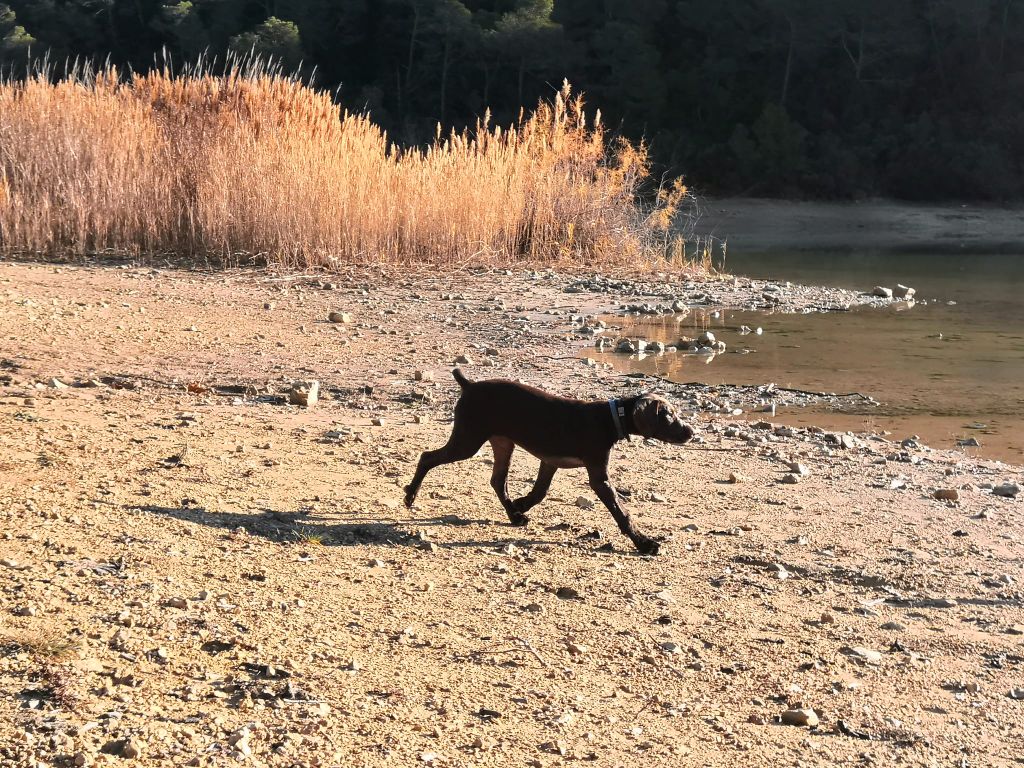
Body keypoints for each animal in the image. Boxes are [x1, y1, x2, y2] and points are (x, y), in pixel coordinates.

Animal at [401, 370, 696, 557]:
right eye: (668, 415)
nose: (691, 432)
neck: (611, 417)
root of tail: (469, 385)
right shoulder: (598, 476)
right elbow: (621, 513)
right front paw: (645, 543)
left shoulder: (549, 462)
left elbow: (540, 491)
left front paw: (521, 504)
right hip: (468, 440)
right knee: (427, 457)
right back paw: (410, 495)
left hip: (502, 442)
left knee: (498, 481)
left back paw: (514, 515)